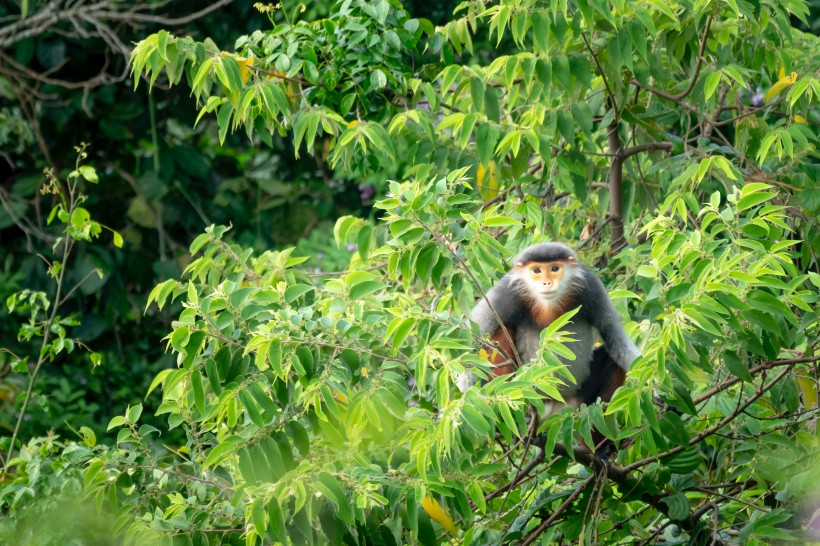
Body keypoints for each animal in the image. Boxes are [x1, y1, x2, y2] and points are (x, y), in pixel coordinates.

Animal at [454, 239, 640, 408]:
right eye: (536, 270)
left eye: (554, 268)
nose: (547, 282)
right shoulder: (504, 294)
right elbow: (471, 345)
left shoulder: (592, 289)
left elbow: (616, 340)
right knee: (500, 330)